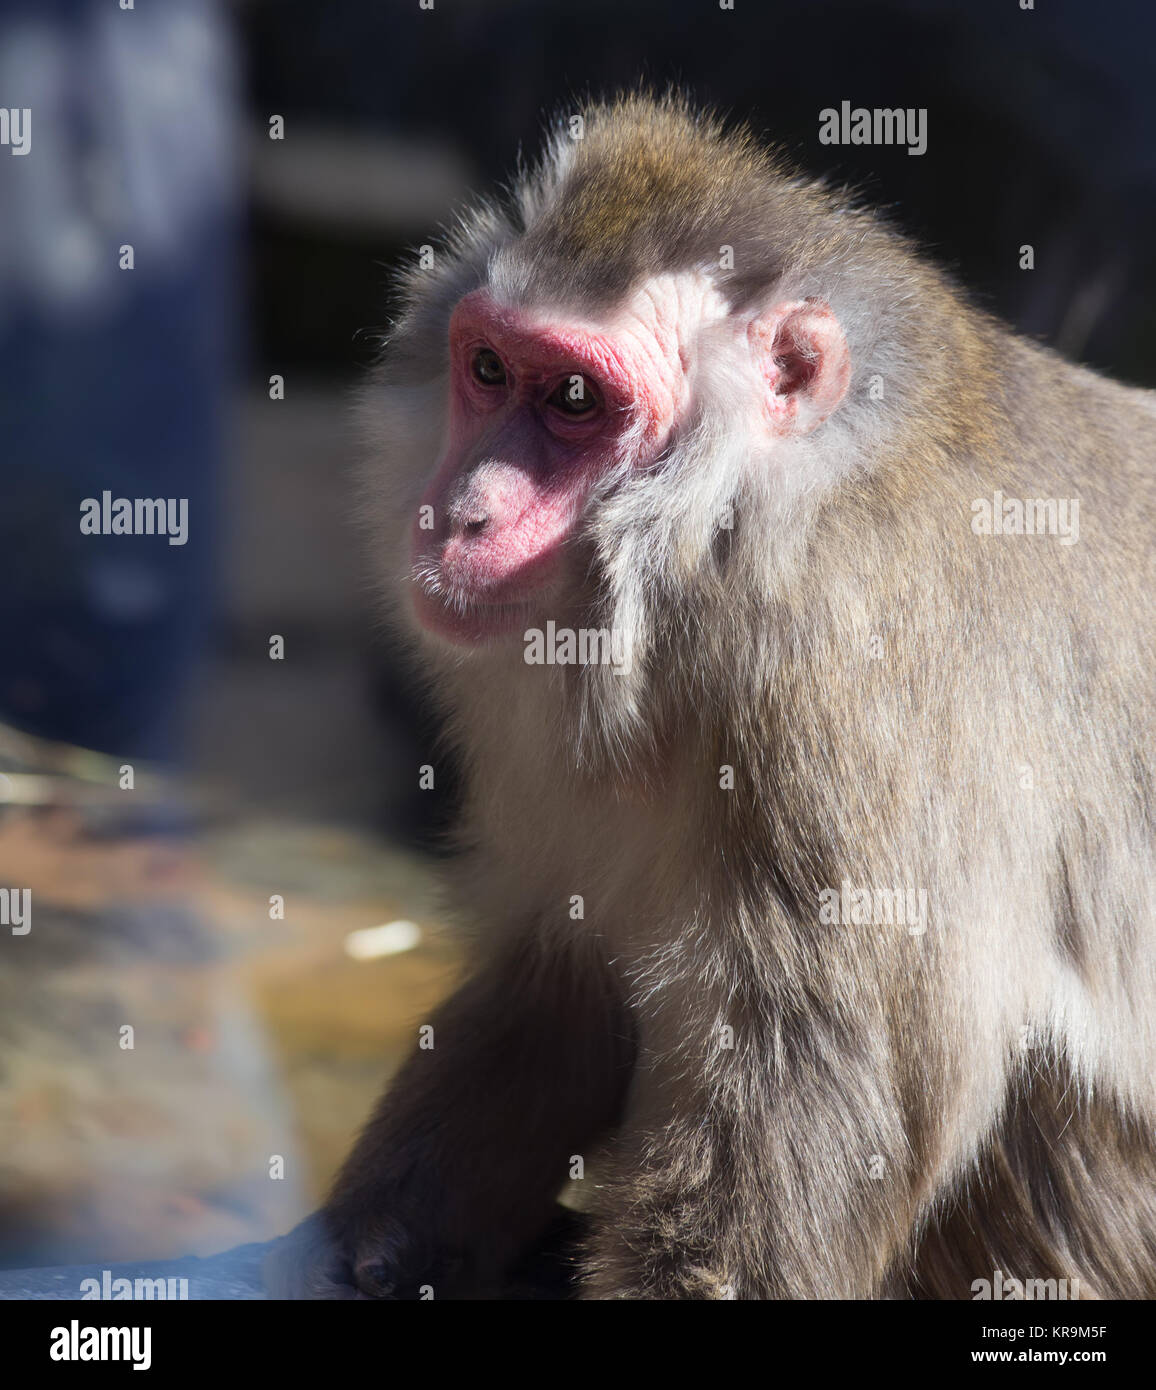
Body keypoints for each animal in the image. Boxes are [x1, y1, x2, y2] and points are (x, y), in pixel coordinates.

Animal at [266, 92, 1156, 1295]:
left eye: (577, 398)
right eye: (488, 369)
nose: (458, 514)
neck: (734, 543)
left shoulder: (842, 691)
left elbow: (818, 1091)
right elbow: (561, 991)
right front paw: (373, 1241)